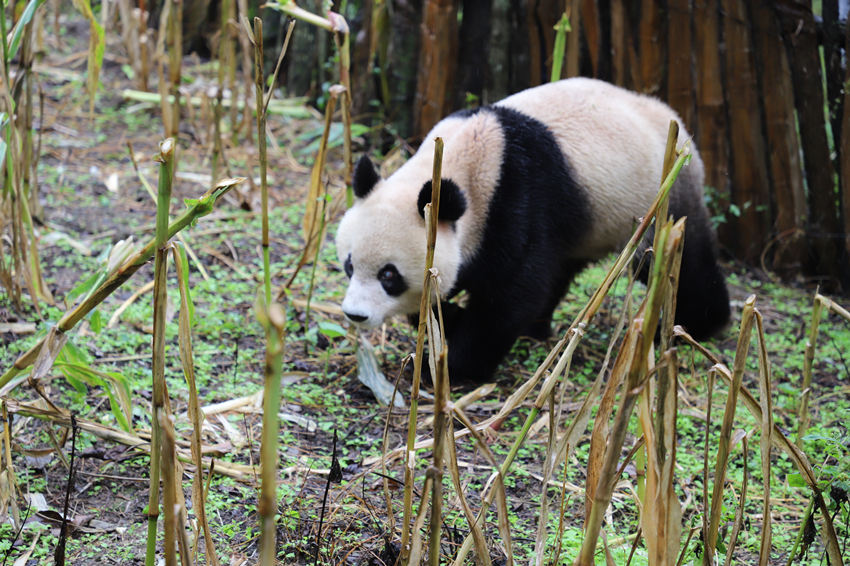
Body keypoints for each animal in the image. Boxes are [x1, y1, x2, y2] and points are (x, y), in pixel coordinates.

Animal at [334, 76, 724, 386]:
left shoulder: (516, 200)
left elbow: (512, 295)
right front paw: (449, 319)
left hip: (659, 196)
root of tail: (675, 120)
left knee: (679, 260)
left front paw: (451, 367)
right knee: (563, 267)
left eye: (389, 275)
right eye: (349, 266)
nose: (355, 315)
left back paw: (700, 324)